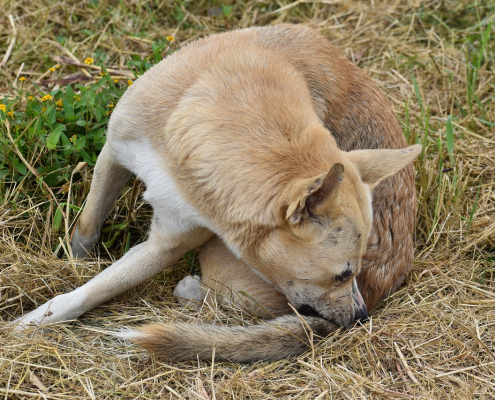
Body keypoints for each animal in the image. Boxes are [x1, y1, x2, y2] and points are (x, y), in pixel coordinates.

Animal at [12, 25, 418, 362]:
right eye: (342, 275)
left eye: (352, 272)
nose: (361, 318)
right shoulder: (114, 153)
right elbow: (87, 228)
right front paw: (73, 264)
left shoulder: (166, 245)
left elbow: (92, 291)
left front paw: (29, 323)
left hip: (218, 260)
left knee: (223, 300)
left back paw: (192, 289)